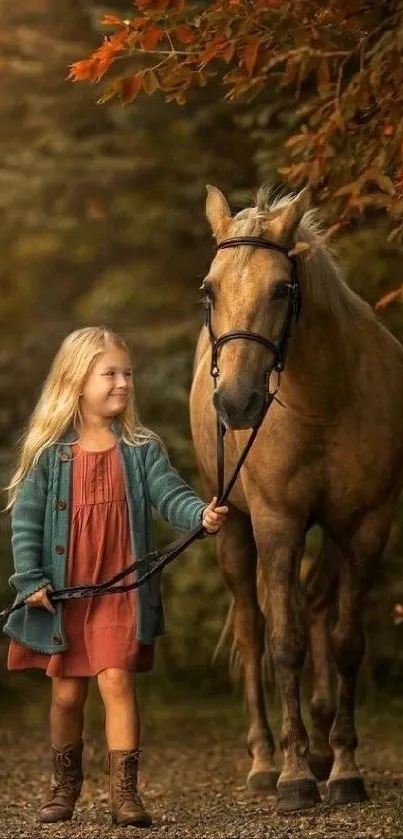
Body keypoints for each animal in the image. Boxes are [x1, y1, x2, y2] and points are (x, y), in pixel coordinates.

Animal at [189, 184, 403, 812]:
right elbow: (283, 644)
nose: (236, 403)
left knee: (315, 603)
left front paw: (345, 767)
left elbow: (347, 641)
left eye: (282, 289)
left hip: (329, 534)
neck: (323, 400)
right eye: (209, 289)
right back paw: (266, 759)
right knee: (252, 627)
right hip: (235, 529)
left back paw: (322, 746)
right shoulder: (277, 523)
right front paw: (293, 777)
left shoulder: (366, 526)